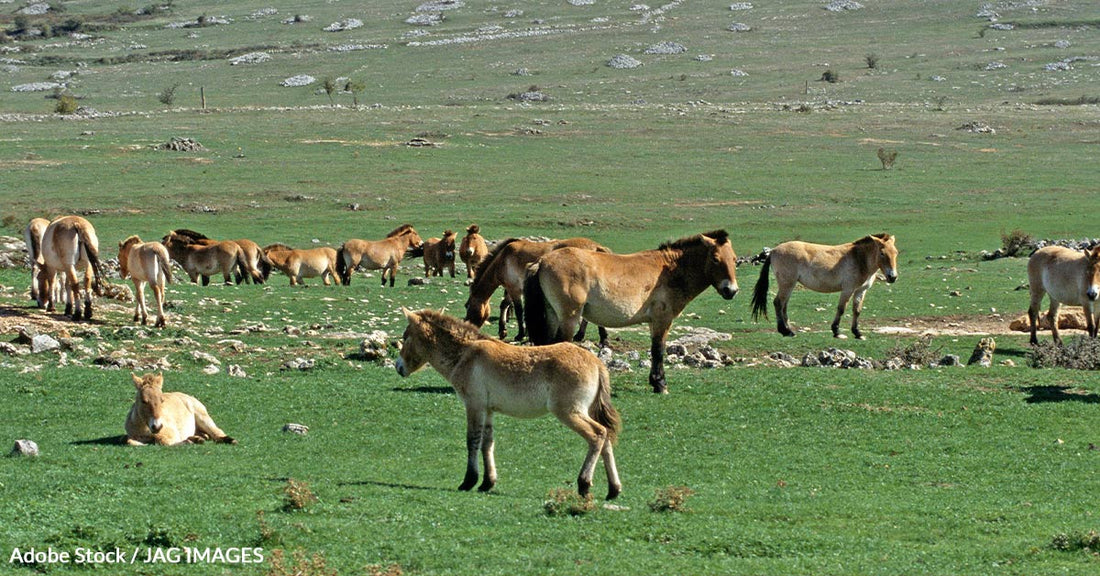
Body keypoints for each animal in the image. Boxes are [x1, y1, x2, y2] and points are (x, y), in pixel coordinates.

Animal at [395, 308, 621, 499]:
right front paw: (487, 482)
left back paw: (584, 484)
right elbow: (487, 443)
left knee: (597, 435)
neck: (465, 354)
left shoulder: (474, 406)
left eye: (406, 337)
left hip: (569, 412)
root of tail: (597, 364)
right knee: (606, 438)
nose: (399, 367)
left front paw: (469, 481)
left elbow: (472, 441)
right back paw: (613, 489)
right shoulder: (488, 410)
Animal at [464, 237, 611, 341]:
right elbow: (504, 305)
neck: (502, 259)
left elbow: (518, 311)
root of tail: (596, 246)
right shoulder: (512, 289)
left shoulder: (514, 289)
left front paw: (520, 334)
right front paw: (503, 331)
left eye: (469, 307)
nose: (467, 326)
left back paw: (586, 335)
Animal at [525, 230, 739, 394]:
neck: (671, 270)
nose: (731, 290)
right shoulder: (662, 320)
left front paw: (655, 381)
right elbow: (659, 350)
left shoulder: (654, 321)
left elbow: (655, 350)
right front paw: (660, 384)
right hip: (569, 317)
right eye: (715, 259)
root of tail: (542, 261)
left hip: (553, 316)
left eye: (735, 259)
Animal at [750, 233, 898, 340]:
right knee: (778, 303)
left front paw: (858, 333)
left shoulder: (860, 291)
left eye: (896, 252)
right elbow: (841, 309)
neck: (859, 259)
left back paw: (790, 330)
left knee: (784, 305)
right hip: (787, 283)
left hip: (789, 285)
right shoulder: (848, 289)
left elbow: (857, 310)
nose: (892, 277)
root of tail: (773, 251)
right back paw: (785, 331)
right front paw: (837, 331)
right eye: (882, 253)